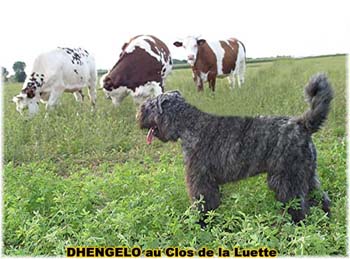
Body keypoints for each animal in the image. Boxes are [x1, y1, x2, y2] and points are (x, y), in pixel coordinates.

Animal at [137, 74, 334, 224]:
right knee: (321, 198)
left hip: (287, 180)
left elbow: (202, 202)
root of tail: (302, 124)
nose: (138, 116)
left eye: (149, 106)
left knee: (299, 205)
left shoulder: (199, 178)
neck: (189, 124)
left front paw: (200, 222)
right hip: (306, 175)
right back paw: (326, 219)